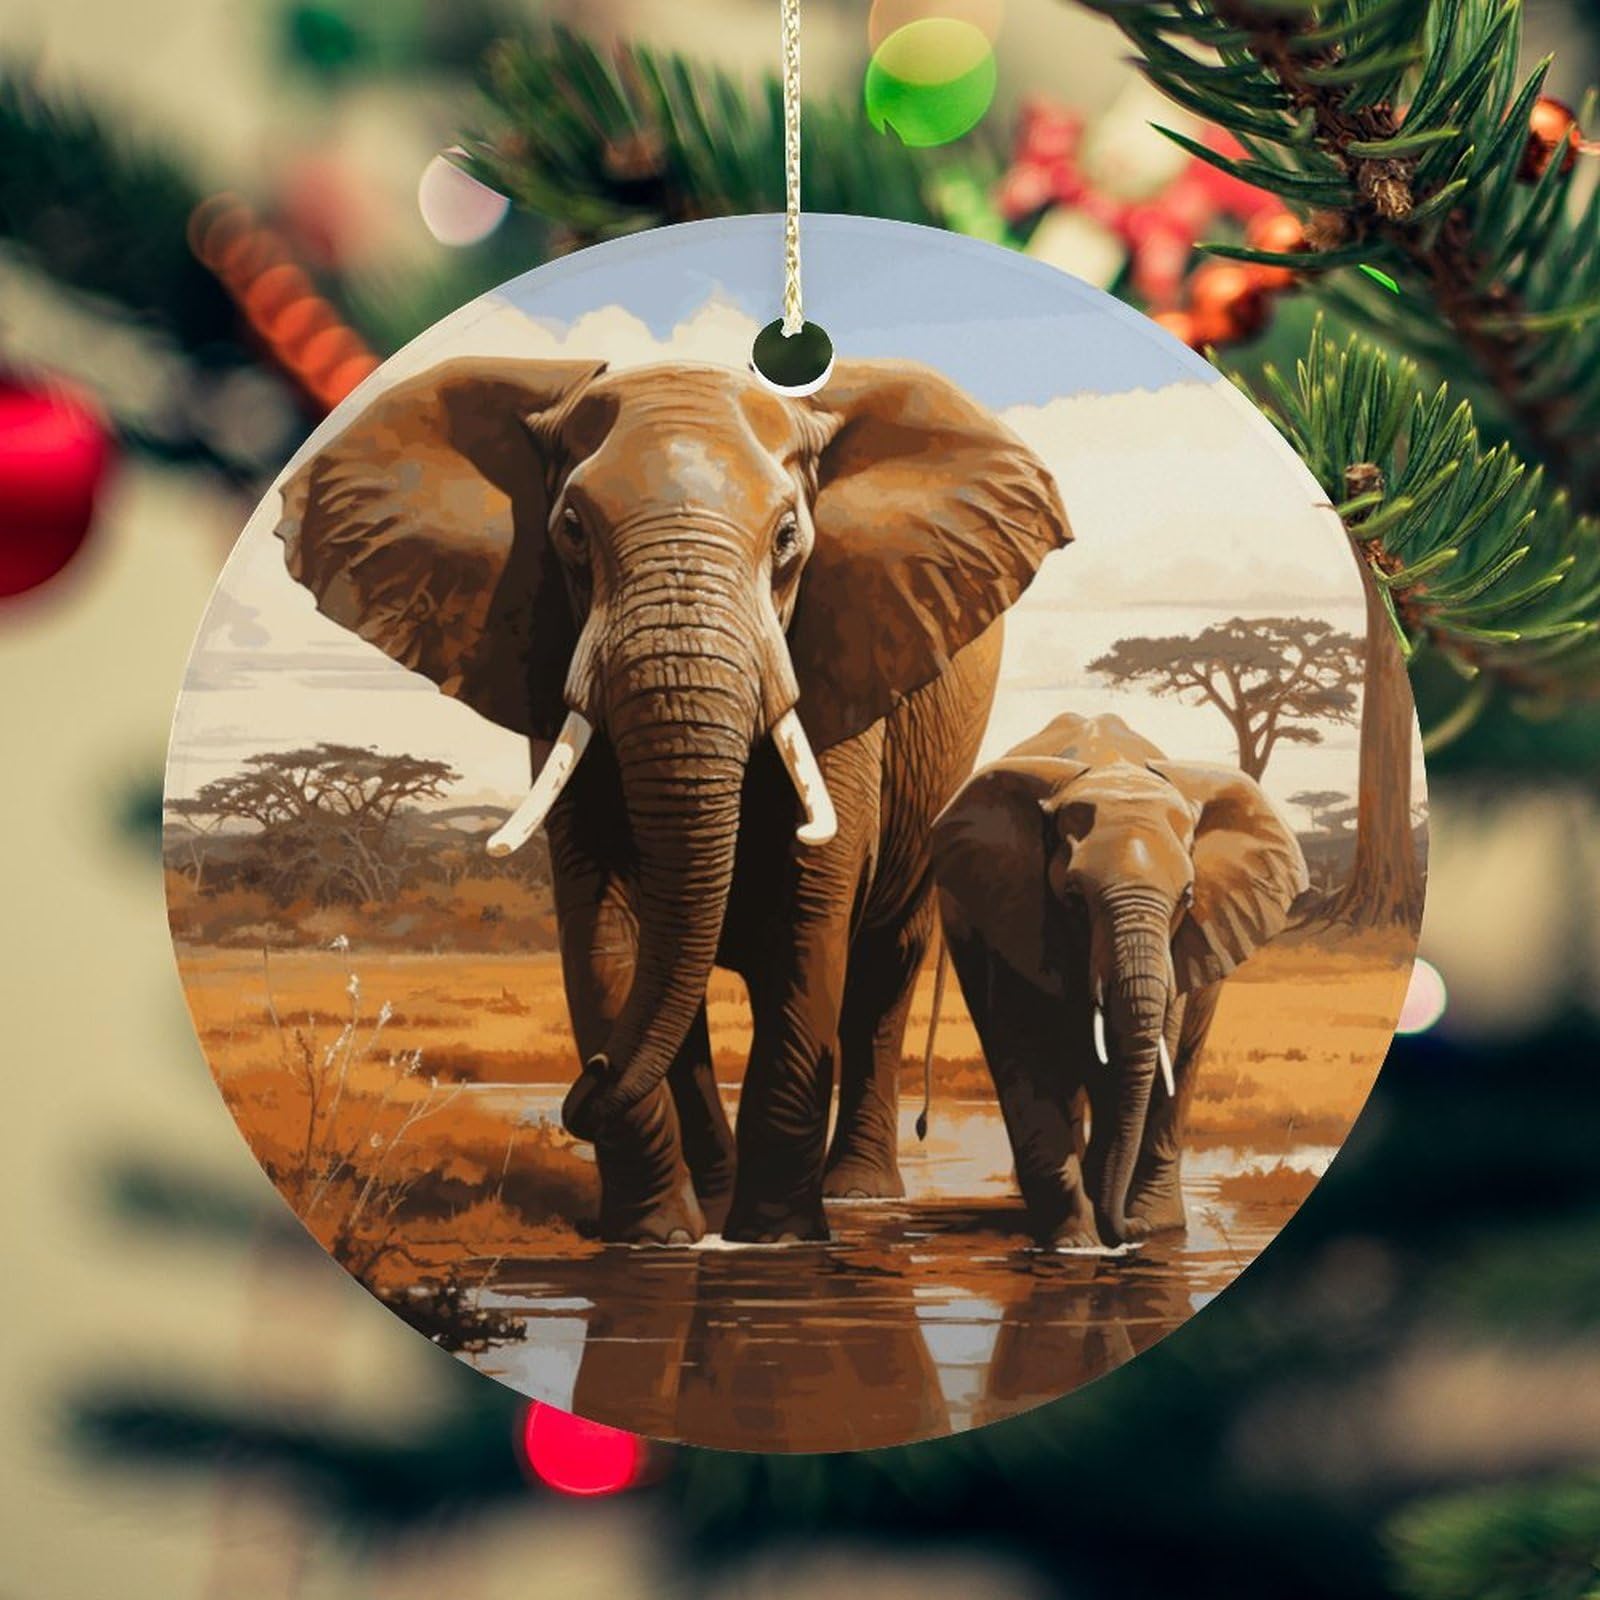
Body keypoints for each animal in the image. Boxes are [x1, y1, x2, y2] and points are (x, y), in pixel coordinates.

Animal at [275, 355, 1069, 1245]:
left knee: (880, 972)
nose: (582, 1082)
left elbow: (810, 911)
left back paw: (860, 1195)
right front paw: (658, 1237)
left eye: (788, 538)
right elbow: (607, 920)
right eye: (571, 531)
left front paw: (774, 1240)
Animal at [931, 711, 1306, 1249]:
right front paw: (1074, 1245)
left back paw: (1161, 1224)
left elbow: (1148, 1055)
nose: (1125, 1235)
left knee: (1178, 1068)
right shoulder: (1017, 910)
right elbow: (1028, 1051)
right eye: (1072, 896)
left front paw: (1119, 1228)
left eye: (1186, 897)